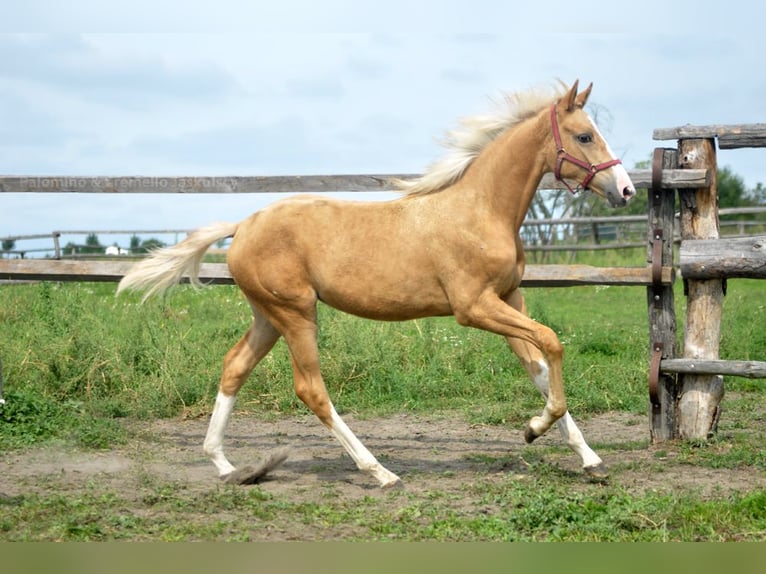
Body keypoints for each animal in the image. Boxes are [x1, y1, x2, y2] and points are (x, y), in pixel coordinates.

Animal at [118, 81, 636, 488]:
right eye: (585, 135)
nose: (626, 190)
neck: (480, 210)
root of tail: (243, 225)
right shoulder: (474, 307)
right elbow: (553, 343)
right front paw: (534, 428)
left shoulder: (511, 298)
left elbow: (540, 367)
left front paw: (588, 459)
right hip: (296, 313)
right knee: (311, 389)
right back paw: (380, 472)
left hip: (268, 315)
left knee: (234, 367)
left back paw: (226, 466)